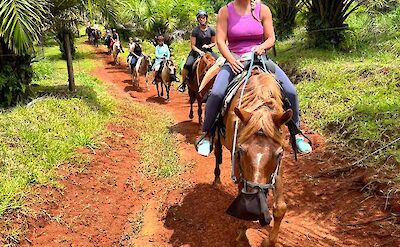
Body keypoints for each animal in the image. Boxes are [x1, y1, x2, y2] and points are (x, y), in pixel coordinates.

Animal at [212, 68, 294, 247]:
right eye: (241, 151)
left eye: (279, 154)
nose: (256, 203)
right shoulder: (237, 163)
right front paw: (242, 236)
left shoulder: (278, 165)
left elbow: (280, 207)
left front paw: (268, 241)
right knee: (217, 153)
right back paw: (216, 179)